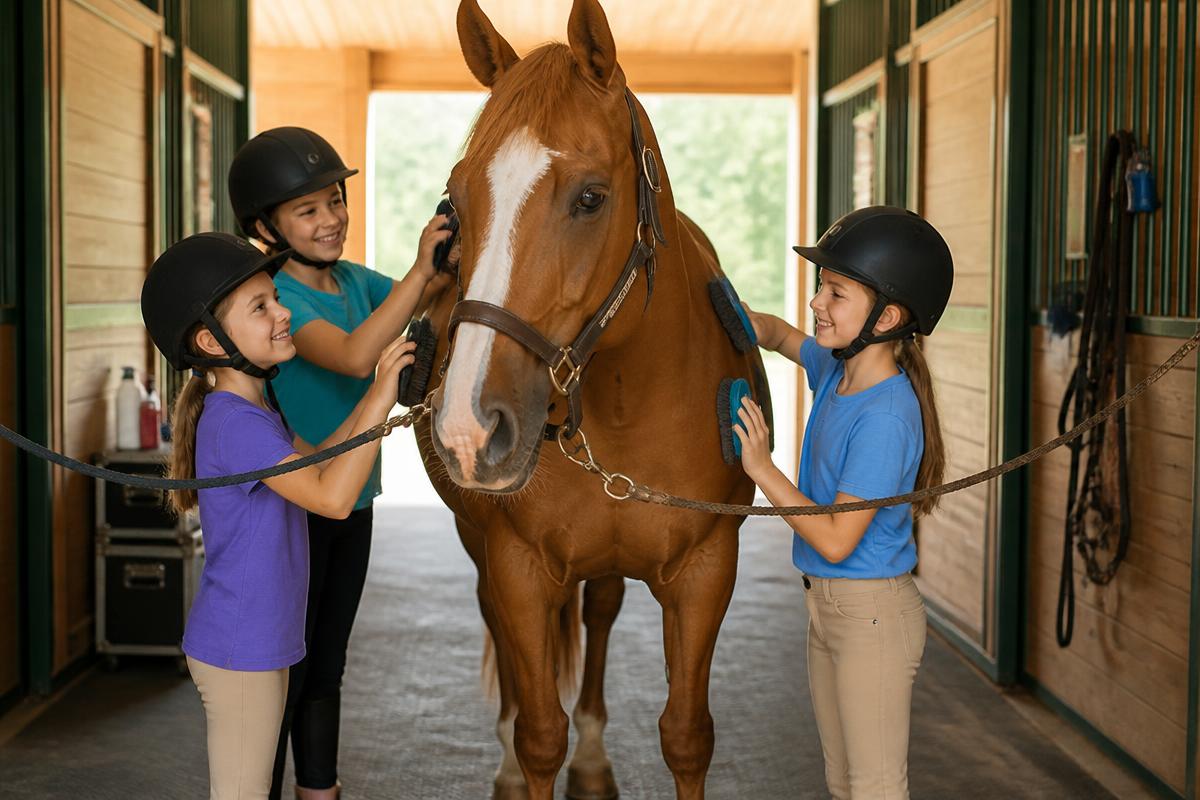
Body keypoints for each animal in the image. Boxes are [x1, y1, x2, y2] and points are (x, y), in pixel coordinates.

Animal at [412, 1, 771, 797]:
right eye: (458, 199)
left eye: (589, 198)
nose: (470, 427)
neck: (622, 400)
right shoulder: (517, 566)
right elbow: (540, 733)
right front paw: (524, 759)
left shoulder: (706, 569)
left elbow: (687, 737)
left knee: (601, 612)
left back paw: (597, 756)